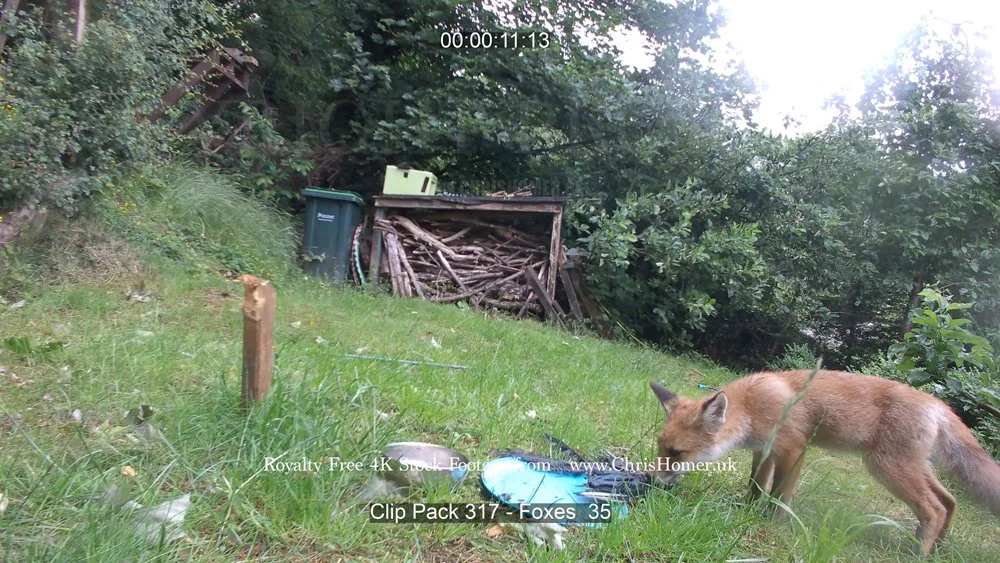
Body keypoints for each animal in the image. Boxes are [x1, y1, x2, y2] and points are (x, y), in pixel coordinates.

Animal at [648, 369, 1000, 556]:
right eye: (660, 447)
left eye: (676, 453)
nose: (652, 480)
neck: (751, 405)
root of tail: (938, 404)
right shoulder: (764, 451)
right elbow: (756, 486)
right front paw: (746, 510)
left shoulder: (793, 449)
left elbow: (779, 495)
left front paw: (772, 523)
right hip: (914, 467)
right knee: (950, 501)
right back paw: (936, 549)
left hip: (887, 468)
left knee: (935, 508)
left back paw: (917, 554)